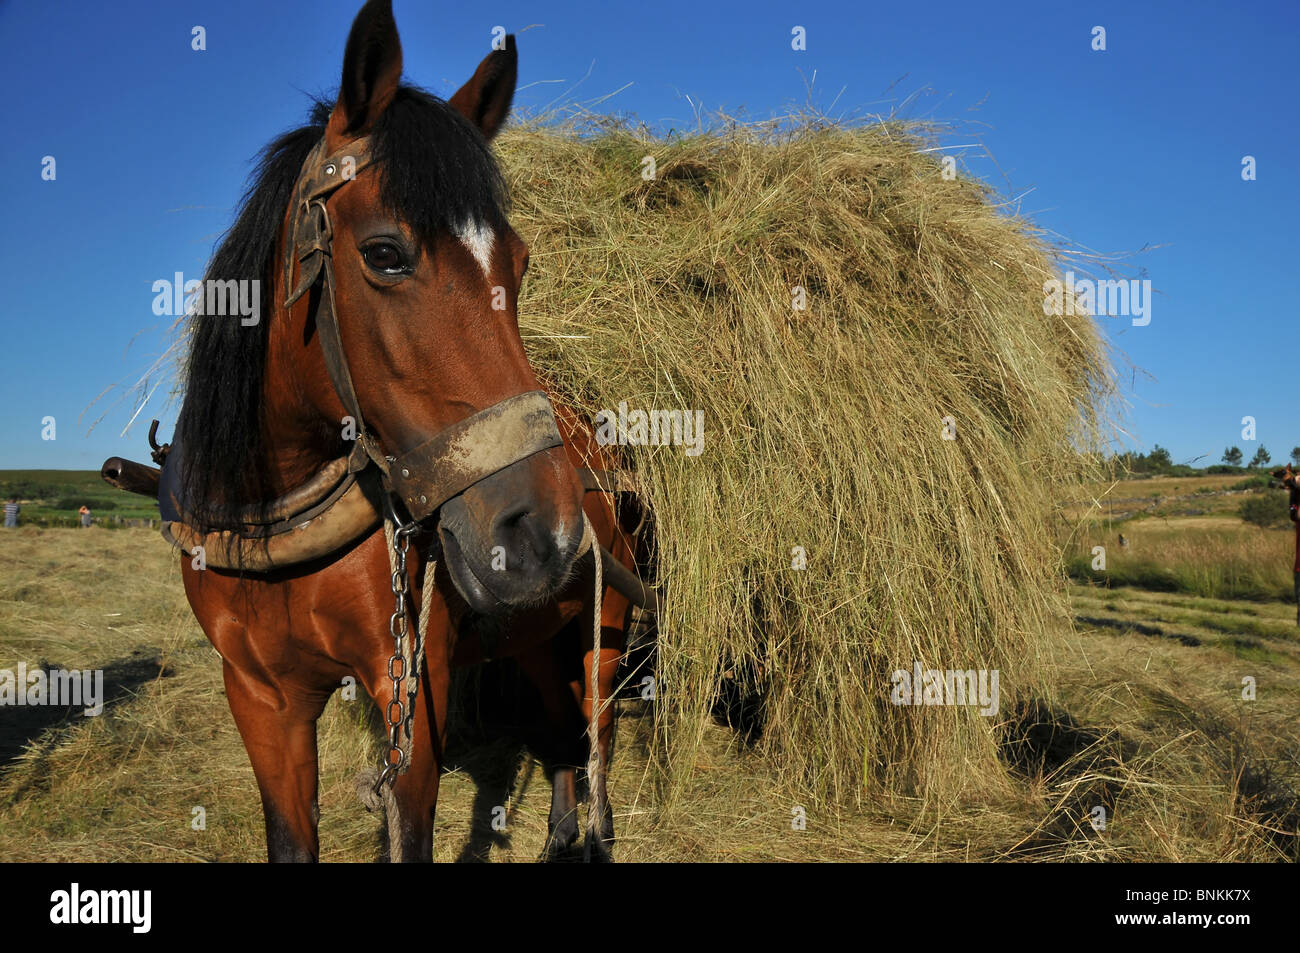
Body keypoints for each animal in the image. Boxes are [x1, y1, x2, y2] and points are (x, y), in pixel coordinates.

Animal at [165, 0, 631, 858]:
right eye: (384, 253)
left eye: (516, 264)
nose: (543, 531)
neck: (275, 522)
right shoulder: (262, 700)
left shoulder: (411, 689)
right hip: (538, 633)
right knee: (558, 734)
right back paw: (556, 832)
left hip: (602, 630)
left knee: (599, 736)